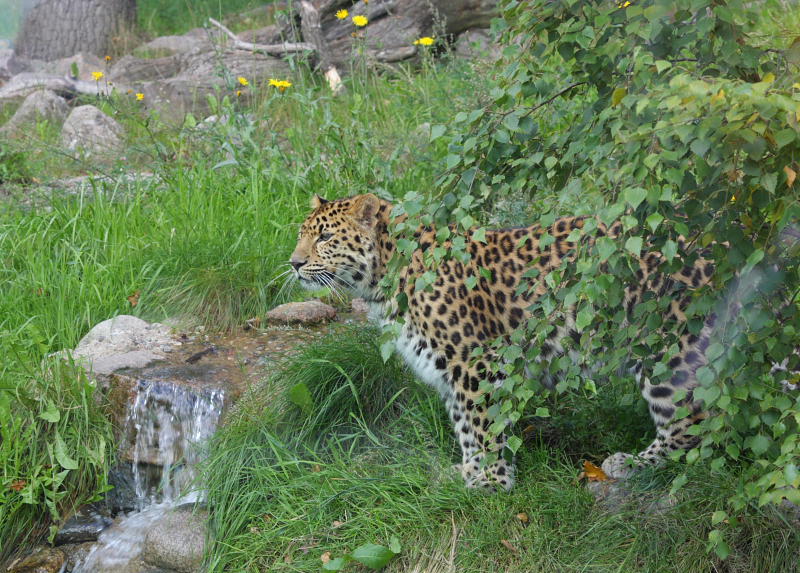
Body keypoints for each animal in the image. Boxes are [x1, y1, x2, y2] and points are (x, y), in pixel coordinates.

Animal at [289, 193, 796, 491]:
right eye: (300, 235)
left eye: (326, 237)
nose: (293, 263)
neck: (384, 277)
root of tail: (735, 249)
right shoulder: (452, 370)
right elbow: (464, 426)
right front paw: (468, 471)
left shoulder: (476, 361)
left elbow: (483, 425)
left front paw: (492, 483)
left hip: (670, 350)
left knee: (697, 427)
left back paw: (631, 464)